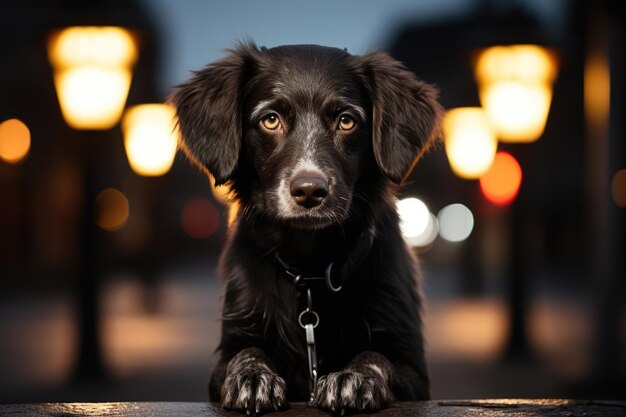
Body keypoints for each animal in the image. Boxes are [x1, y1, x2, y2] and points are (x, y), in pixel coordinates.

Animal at [171, 41, 442, 412]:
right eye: (270, 119)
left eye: (346, 121)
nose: (310, 190)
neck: (310, 266)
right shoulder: (229, 349)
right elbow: (246, 352)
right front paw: (252, 378)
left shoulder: (413, 369)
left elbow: (375, 356)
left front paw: (352, 378)